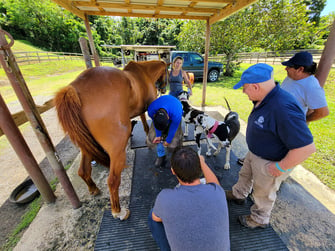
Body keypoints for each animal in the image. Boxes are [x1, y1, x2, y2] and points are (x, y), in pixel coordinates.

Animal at [54, 60, 168, 220]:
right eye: (167, 71)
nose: (163, 88)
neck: (143, 73)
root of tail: (74, 89)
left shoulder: (142, 110)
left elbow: (145, 123)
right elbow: (148, 125)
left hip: (86, 146)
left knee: (83, 171)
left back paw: (94, 189)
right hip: (116, 149)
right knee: (112, 181)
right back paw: (118, 212)